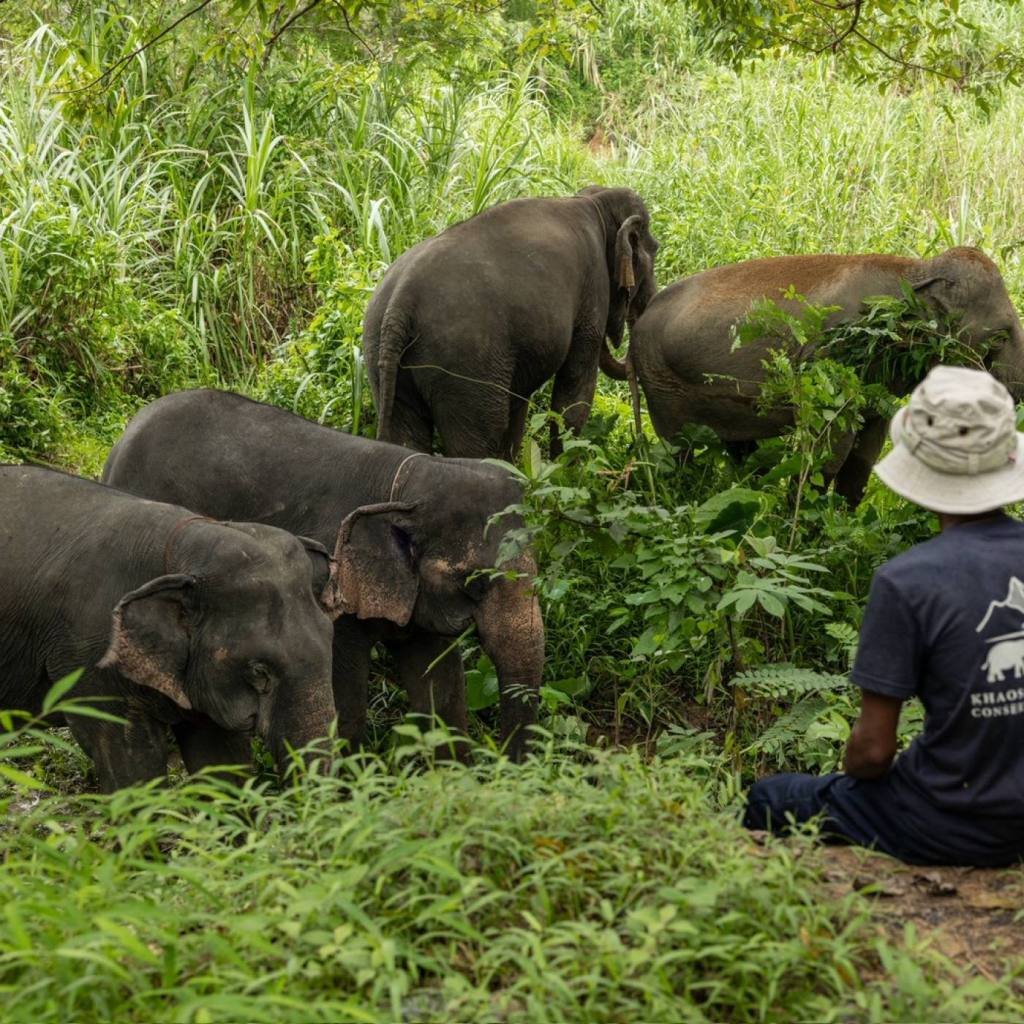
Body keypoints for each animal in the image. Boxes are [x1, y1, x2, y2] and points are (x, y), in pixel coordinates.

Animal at [0, 465, 337, 792]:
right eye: (258, 671)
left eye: (330, 641)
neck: (181, 548)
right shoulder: (89, 655)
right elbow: (131, 764)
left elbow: (217, 758)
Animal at [102, 389, 545, 760]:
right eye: (475, 581)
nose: (505, 764)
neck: (407, 482)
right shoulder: (335, 588)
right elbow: (345, 692)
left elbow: (441, 688)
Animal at [362, 186, 659, 460]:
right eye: (654, 250)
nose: (640, 440)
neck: (593, 199)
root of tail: (400, 303)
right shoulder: (593, 286)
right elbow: (574, 392)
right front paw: (563, 469)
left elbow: (520, 402)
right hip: (466, 366)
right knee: (476, 441)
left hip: (382, 355)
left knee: (406, 435)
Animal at [630, 247, 1024, 503]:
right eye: (1000, 337)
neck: (914, 271)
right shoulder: (831, 357)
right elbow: (829, 449)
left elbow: (865, 453)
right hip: (662, 383)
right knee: (678, 451)